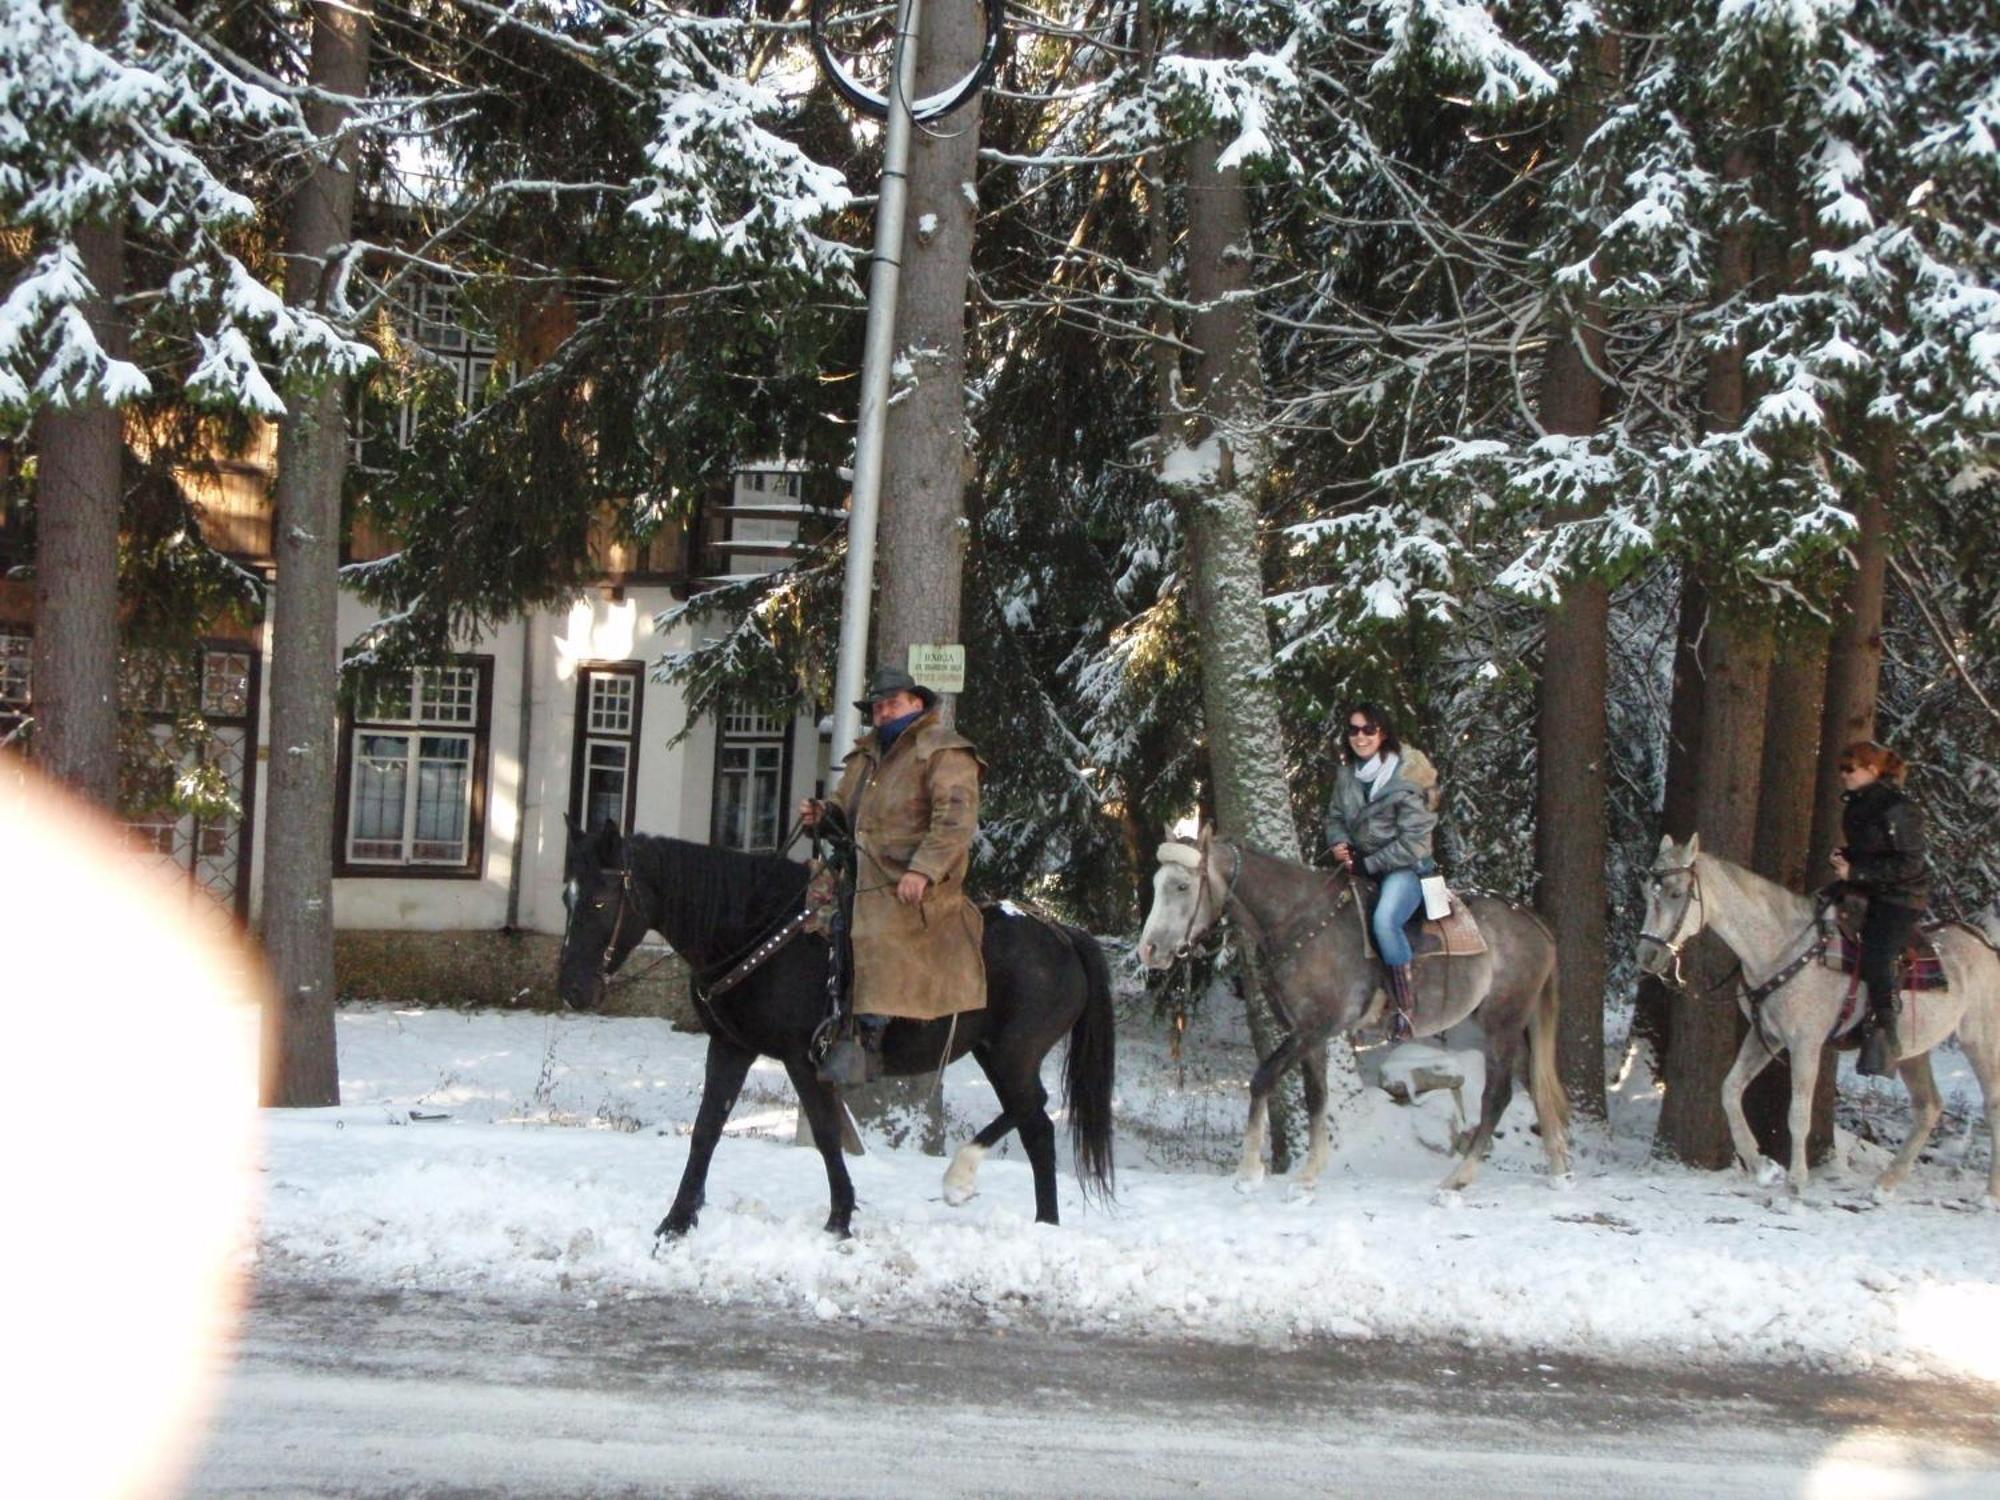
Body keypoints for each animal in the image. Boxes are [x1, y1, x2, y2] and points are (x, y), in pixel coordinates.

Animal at [556, 824, 1120, 1248]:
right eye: (567, 896)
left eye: (602, 901)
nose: (573, 989)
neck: (758, 932)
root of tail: (1062, 933)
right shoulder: (731, 1047)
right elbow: (706, 1130)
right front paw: (676, 1222)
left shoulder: (802, 1058)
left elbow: (827, 1133)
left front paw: (840, 1219)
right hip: (998, 1055)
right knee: (1032, 1116)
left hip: (1010, 1056)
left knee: (1037, 1124)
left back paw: (1015, 1208)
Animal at [1136, 836, 1568, 1200]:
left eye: (1182, 886)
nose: (1149, 950)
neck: (1301, 920)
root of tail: (1534, 922)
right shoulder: (1308, 1036)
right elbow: (1316, 1097)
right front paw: (1308, 1175)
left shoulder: (1314, 1029)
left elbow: (1262, 1080)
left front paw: (1248, 1172)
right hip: (1516, 1025)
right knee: (1535, 1084)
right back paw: (1559, 1170)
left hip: (1501, 1024)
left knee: (1497, 1095)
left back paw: (1457, 1181)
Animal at [1640, 828, 2000, 1208]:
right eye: (1648, 892)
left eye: (1676, 893)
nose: (1646, 955)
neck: (1782, 949)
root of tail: (1985, 944)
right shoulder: (1766, 1036)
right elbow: (1730, 1090)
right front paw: (1761, 1167)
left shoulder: (1805, 1044)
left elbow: (1798, 1114)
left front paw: (1795, 1183)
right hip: (1912, 1052)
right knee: (1928, 1106)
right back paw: (1884, 1184)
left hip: (1980, 1040)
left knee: (1991, 1106)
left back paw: (1990, 1194)